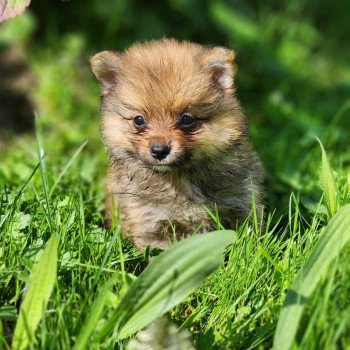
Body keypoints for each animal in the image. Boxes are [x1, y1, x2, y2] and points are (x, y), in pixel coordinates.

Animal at [90, 38, 262, 250]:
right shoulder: (151, 222)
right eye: (139, 120)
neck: (179, 178)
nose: (159, 150)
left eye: (186, 119)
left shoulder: (241, 206)